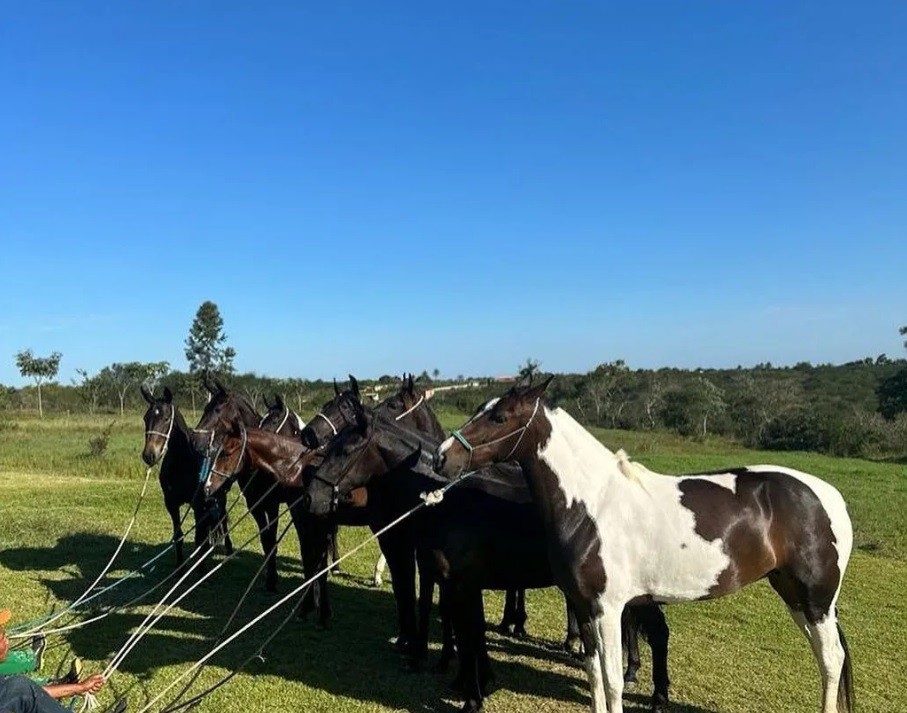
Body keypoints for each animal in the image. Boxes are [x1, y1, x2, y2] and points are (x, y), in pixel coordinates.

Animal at [140, 386, 234, 564]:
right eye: (145, 418)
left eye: (166, 418)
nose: (149, 455)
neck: (182, 462)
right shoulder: (171, 503)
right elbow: (179, 536)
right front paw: (180, 566)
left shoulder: (198, 504)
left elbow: (199, 539)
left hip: (221, 495)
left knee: (223, 517)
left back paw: (229, 548)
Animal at [302, 406, 672, 712]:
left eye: (345, 449)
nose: (311, 497)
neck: (445, 502)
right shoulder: (458, 582)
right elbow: (470, 631)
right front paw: (474, 682)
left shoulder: (459, 583)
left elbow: (466, 634)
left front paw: (471, 696)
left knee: (657, 632)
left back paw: (656, 694)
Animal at [436, 378, 856, 712]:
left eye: (500, 417)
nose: (443, 457)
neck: (592, 504)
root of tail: (829, 496)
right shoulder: (583, 607)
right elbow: (593, 673)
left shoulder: (608, 609)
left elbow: (612, 680)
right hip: (794, 596)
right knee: (826, 657)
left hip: (815, 599)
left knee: (831, 660)